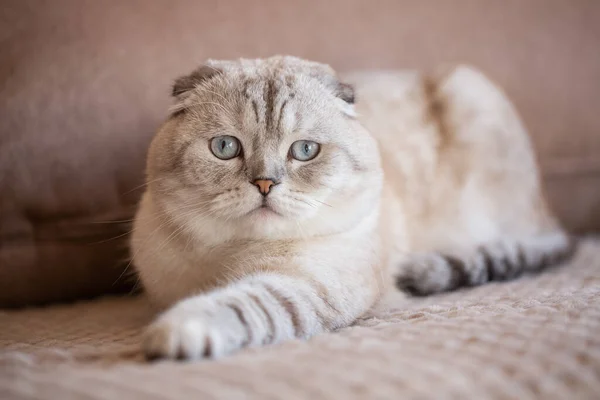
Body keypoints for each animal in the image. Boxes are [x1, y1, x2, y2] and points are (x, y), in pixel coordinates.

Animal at [131, 55, 572, 360]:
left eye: (304, 151)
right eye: (225, 147)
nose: (265, 184)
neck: (235, 253)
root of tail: (550, 212)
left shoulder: (310, 283)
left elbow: (241, 303)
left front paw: (174, 334)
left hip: (472, 94)